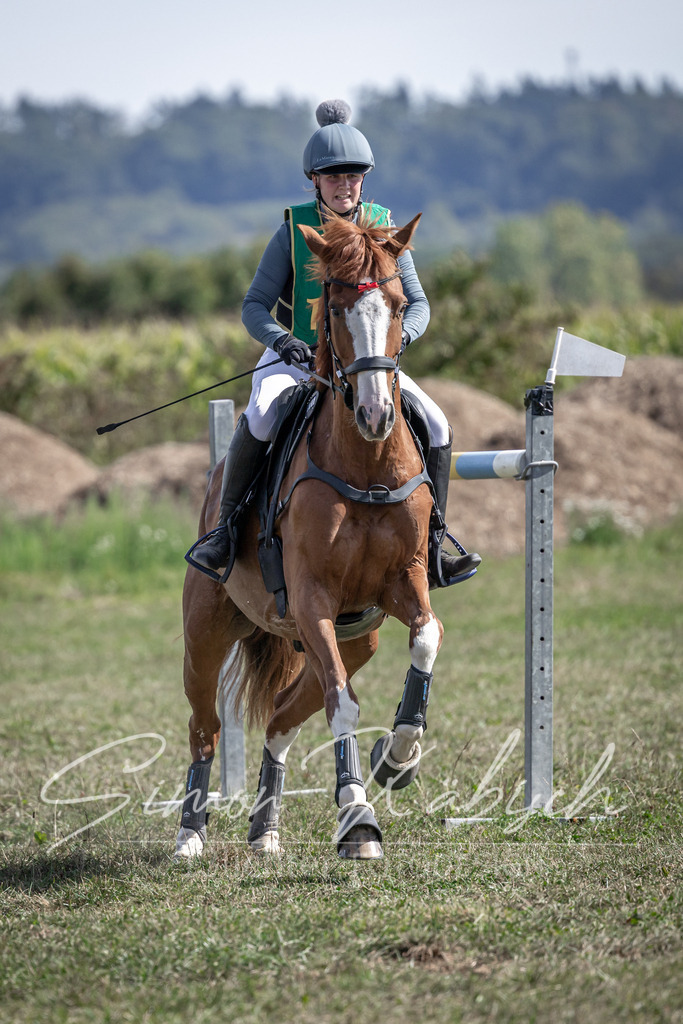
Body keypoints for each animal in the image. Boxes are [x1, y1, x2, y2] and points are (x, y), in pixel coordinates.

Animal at [176, 212, 447, 861]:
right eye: (336, 307)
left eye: (399, 304)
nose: (375, 415)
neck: (367, 465)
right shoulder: (312, 598)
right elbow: (343, 704)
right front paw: (358, 817)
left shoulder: (404, 582)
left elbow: (427, 639)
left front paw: (397, 759)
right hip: (206, 632)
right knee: (206, 727)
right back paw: (191, 832)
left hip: (358, 639)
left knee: (280, 718)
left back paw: (265, 828)